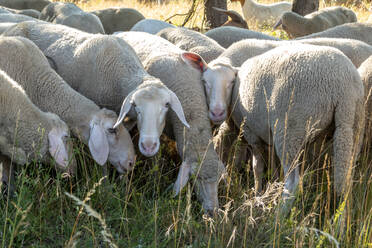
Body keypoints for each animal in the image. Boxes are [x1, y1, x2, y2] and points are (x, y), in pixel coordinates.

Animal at [215, 44, 364, 200]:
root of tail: (343, 88)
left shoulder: (252, 133)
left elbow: (257, 167)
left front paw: (258, 193)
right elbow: (272, 162)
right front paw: (271, 184)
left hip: (290, 129)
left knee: (293, 182)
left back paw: (282, 205)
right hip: (353, 125)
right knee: (347, 172)